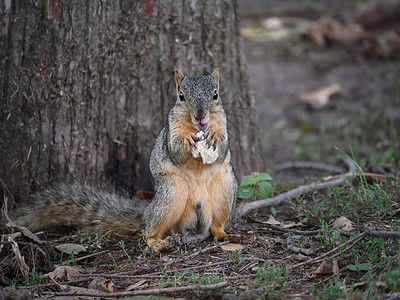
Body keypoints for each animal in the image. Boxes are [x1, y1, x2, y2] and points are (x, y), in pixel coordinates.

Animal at [15, 69, 238, 250]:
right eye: (181, 96)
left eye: (215, 94)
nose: (200, 116)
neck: (197, 127)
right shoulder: (171, 130)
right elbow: (175, 151)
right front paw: (189, 140)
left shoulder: (223, 124)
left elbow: (223, 147)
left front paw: (213, 137)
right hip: (171, 193)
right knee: (150, 228)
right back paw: (155, 243)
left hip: (224, 189)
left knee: (216, 223)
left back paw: (224, 234)